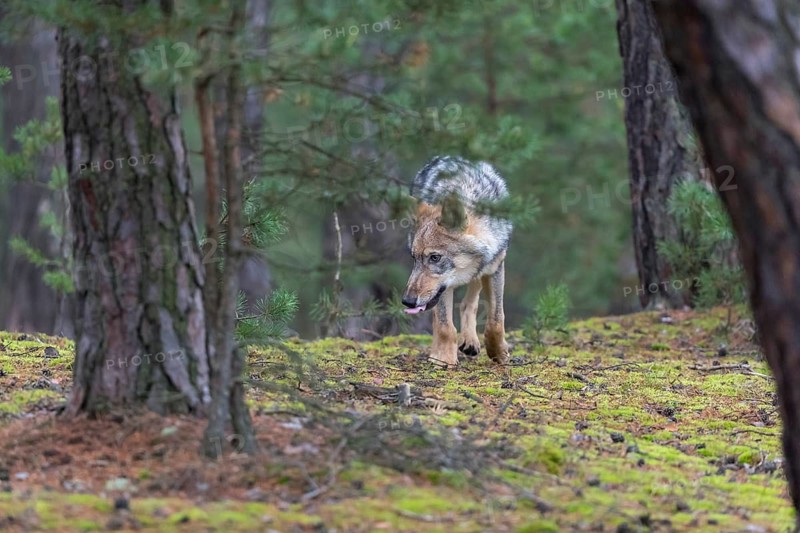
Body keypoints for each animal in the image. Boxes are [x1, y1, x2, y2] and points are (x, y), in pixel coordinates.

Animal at [402, 155, 513, 367]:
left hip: (480, 274)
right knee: (439, 317)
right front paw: (443, 358)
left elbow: (496, 320)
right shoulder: (443, 287)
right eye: (414, 258)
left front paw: (499, 352)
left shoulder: (495, 267)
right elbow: (445, 327)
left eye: (435, 257)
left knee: (469, 303)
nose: (407, 301)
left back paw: (469, 340)